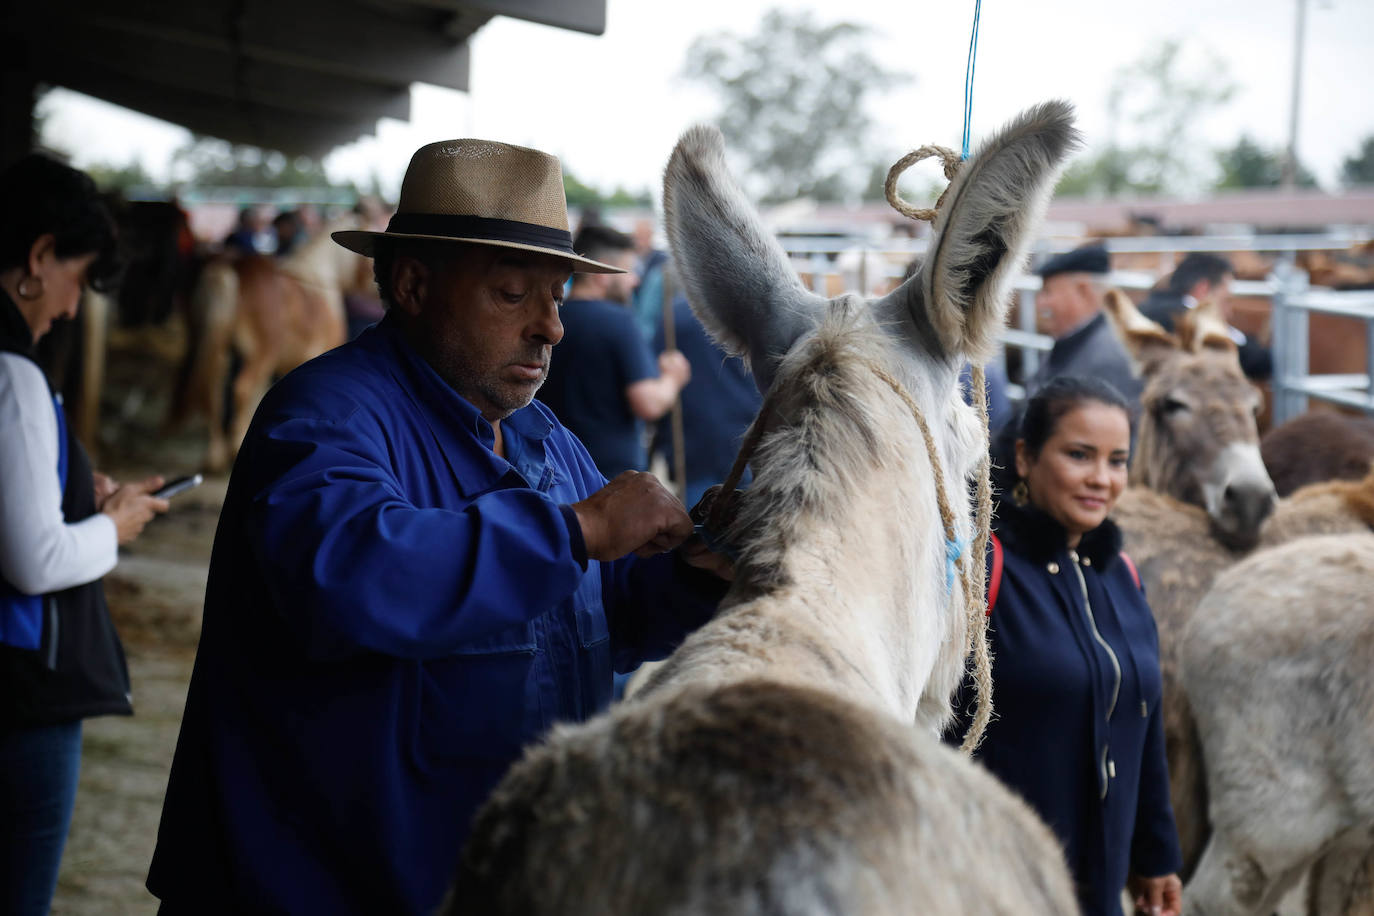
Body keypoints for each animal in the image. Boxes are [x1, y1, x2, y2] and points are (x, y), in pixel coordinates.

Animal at [167, 215, 376, 472]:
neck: (317, 281)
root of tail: (228, 266)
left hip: (213, 345)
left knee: (213, 389)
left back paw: (214, 455)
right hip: (260, 352)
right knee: (242, 388)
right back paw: (231, 448)